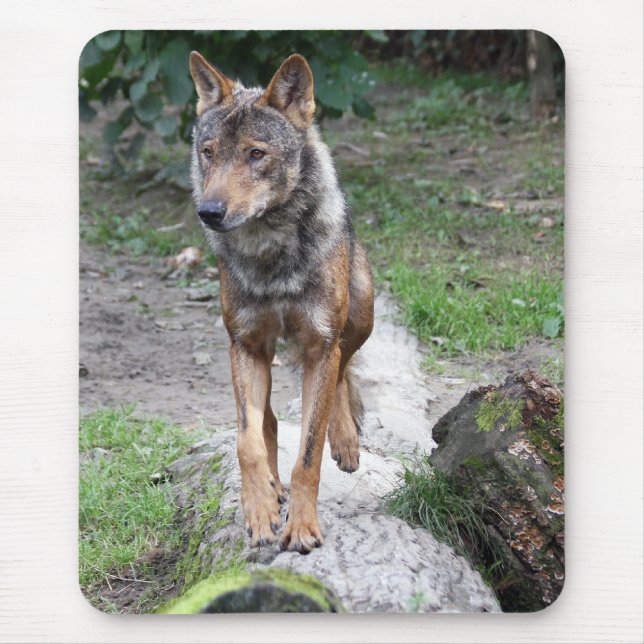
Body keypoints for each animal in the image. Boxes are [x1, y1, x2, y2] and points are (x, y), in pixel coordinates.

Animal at [188, 51, 374, 553]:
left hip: (359, 315)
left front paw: (303, 527)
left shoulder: (319, 344)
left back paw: (346, 440)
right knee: (268, 420)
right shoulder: (244, 344)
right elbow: (247, 442)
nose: (209, 213)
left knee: (344, 370)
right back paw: (274, 489)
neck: (270, 255)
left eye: (256, 154)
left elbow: (308, 453)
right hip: (263, 355)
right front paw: (260, 512)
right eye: (209, 152)